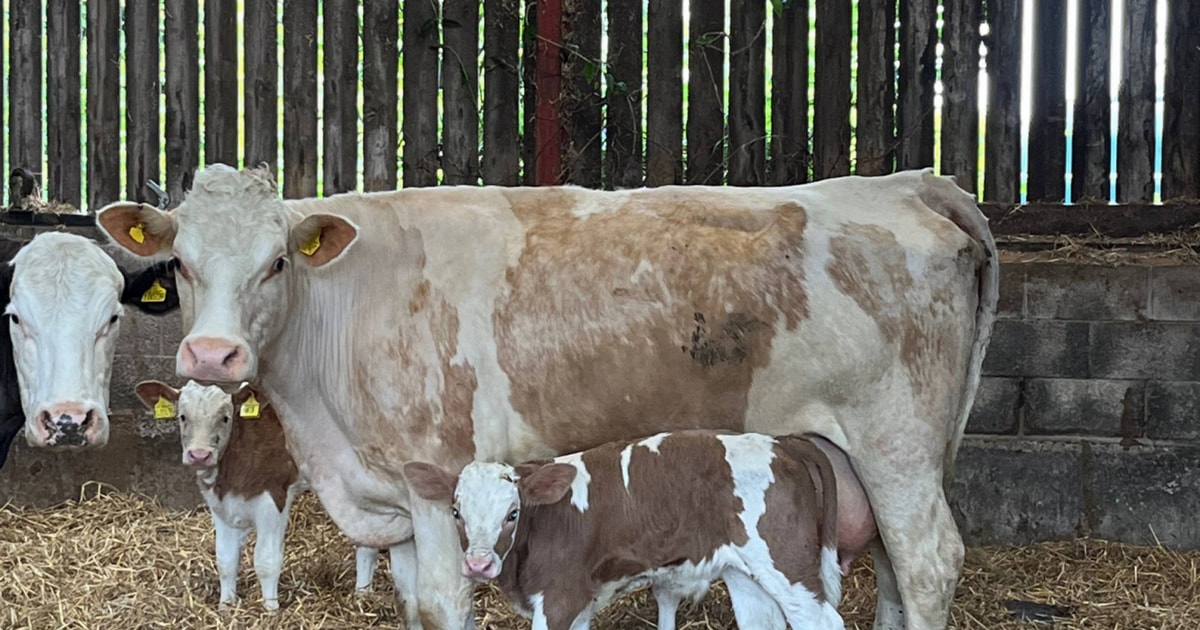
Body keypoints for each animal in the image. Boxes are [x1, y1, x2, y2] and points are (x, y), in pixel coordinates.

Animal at [404, 430, 867, 630]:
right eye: (456, 511)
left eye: (512, 513)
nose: (479, 565)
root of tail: (781, 442)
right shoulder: (579, 602)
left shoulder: (559, 598)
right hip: (745, 571)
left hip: (788, 565)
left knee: (823, 621)